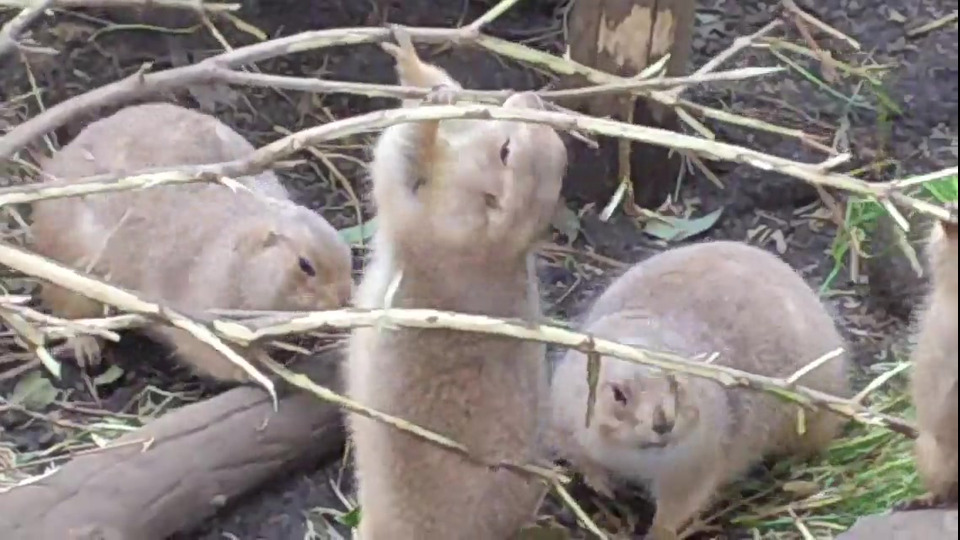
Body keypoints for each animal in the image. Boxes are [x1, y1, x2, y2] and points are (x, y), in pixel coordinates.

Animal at [29, 102, 354, 383]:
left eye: (348, 254)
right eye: (306, 265)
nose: (343, 299)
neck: (238, 255)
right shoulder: (203, 306)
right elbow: (209, 351)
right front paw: (255, 371)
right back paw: (86, 347)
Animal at [344, 28, 568, 539]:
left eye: (506, 153)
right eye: (563, 157)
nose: (529, 96)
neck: (502, 246)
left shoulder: (435, 218)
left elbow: (398, 157)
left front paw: (434, 103)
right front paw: (421, 69)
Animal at [548, 240, 852, 540]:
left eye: (676, 382)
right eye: (618, 394)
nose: (663, 424)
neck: (632, 451)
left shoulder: (695, 461)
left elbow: (679, 505)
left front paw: (657, 532)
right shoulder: (565, 409)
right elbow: (576, 452)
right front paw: (603, 486)